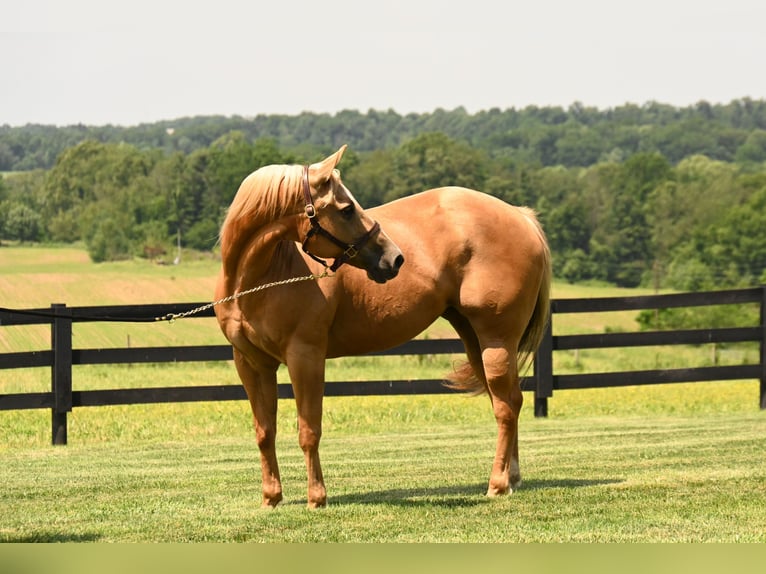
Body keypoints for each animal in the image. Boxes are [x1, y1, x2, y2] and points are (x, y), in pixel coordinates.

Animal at [214, 145, 551, 508]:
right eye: (347, 209)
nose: (395, 258)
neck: (262, 277)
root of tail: (520, 216)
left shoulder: (305, 356)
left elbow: (309, 430)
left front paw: (316, 497)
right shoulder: (251, 364)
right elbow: (265, 431)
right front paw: (271, 497)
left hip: (497, 340)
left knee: (505, 407)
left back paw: (498, 483)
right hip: (476, 341)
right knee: (508, 401)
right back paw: (511, 477)